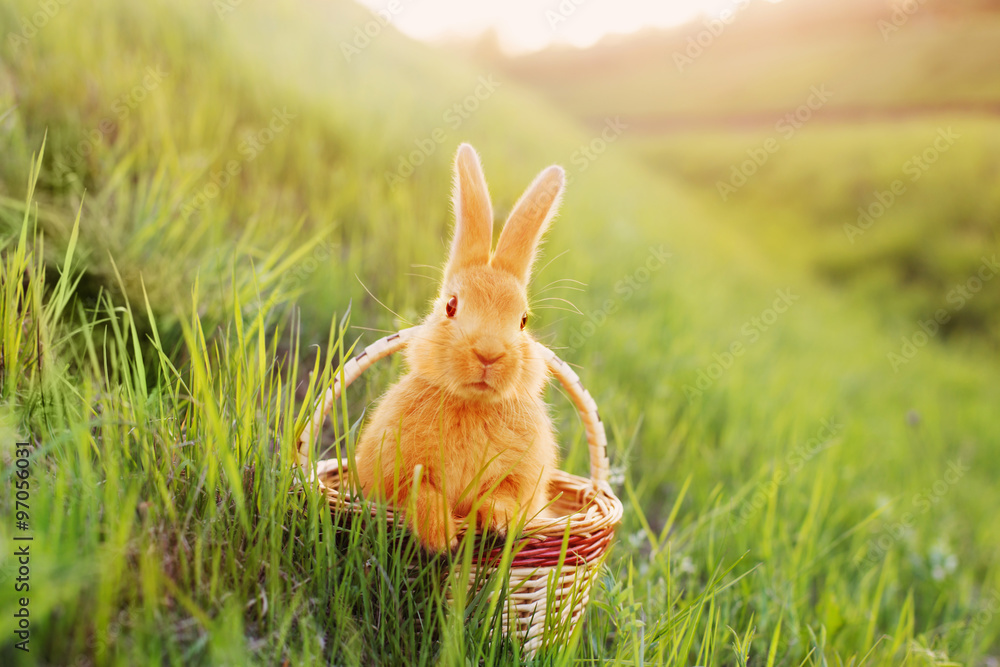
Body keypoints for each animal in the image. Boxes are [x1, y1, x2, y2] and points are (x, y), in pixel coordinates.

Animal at [354, 143, 565, 552]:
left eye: (523, 320)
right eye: (451, 305)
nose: (488, 353)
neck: (473, 405)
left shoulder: (521, 479)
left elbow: (504, 495)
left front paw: (499, 523)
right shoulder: (397, 469)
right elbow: (419, 491)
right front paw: (441, 537)